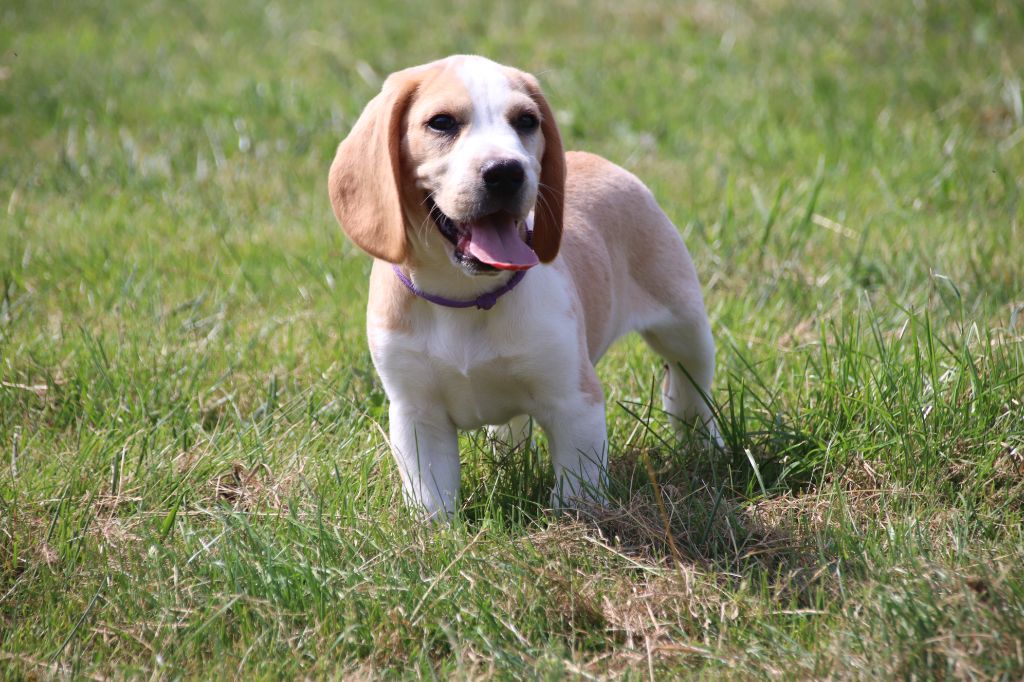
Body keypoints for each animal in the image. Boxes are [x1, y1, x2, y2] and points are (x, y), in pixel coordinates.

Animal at [327, 55, 720, 518]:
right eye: (441, 122)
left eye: (526, 121)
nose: (506, 172)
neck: (467, 299)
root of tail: (601, 162)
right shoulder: (416, 414)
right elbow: (432, 498)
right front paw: (433, 532)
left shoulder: (574, 401)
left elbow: (577, 489)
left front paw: (576, 524)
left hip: (684, 324)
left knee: (689, 387)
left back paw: (706, 446)